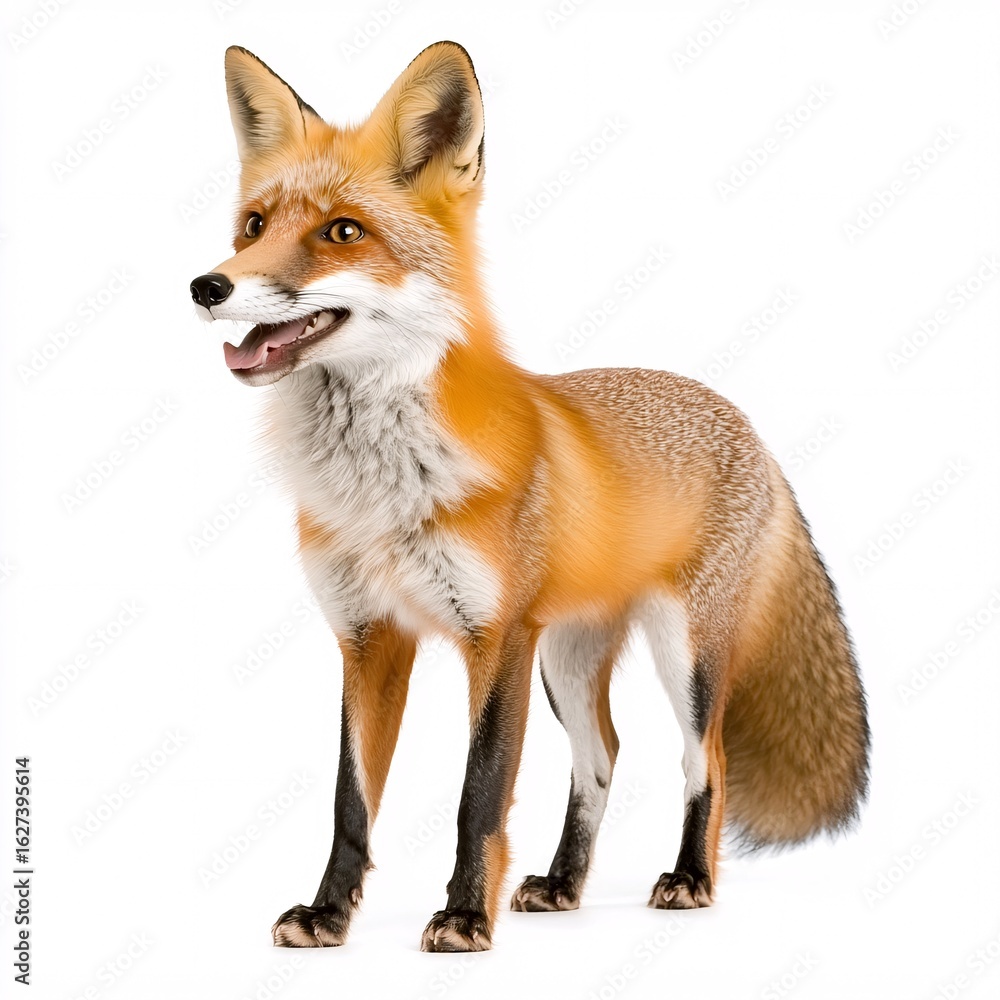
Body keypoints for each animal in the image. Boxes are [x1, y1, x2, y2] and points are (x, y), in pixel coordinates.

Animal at [190, 42, 870, 953]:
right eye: (254, 227)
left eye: (343, 232)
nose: (207, 286)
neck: (380, 493)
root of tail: (741, 418)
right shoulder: (368, 639)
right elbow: (350, 802)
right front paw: (330, 915)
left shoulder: (497, 635)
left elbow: (478, 793)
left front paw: (463, 917)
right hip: (570, 659)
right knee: (603, 755)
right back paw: (565, 883)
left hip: (683, 651)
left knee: (707, 760)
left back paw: (691, 878)